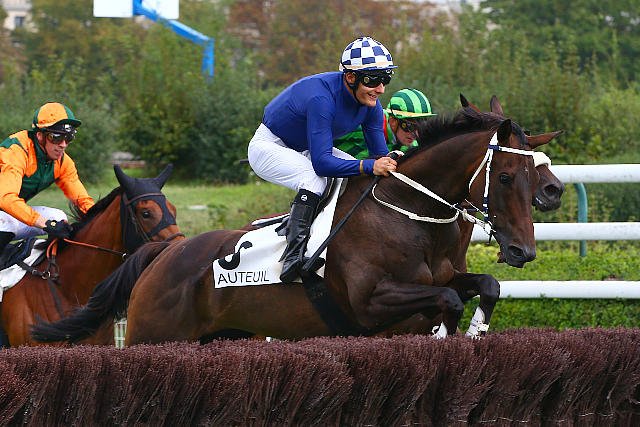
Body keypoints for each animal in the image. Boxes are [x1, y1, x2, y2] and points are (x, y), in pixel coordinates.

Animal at [31, 105, 552, 345]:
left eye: (537, 178)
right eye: (507, 176)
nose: (523, 251)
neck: (405, 213)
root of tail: (166, 252)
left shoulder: (445, 275)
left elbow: (482, 285)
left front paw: (476, 332)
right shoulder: (370, 302)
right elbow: (446, 299)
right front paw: (445, 333)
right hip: (155, 336)